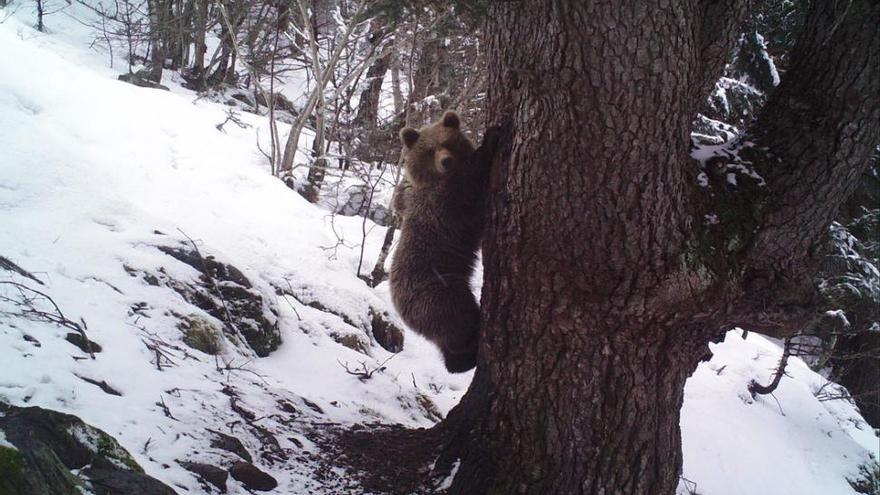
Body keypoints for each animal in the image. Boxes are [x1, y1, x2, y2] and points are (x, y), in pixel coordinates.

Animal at [388, 109, 498, 372]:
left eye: (447, 143)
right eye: (430, 149)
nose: (446, 161)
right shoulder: (442, 203)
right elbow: (470, 186)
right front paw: (490, 138)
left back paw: (460, 361)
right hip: (438, 291)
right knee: (459, 318)